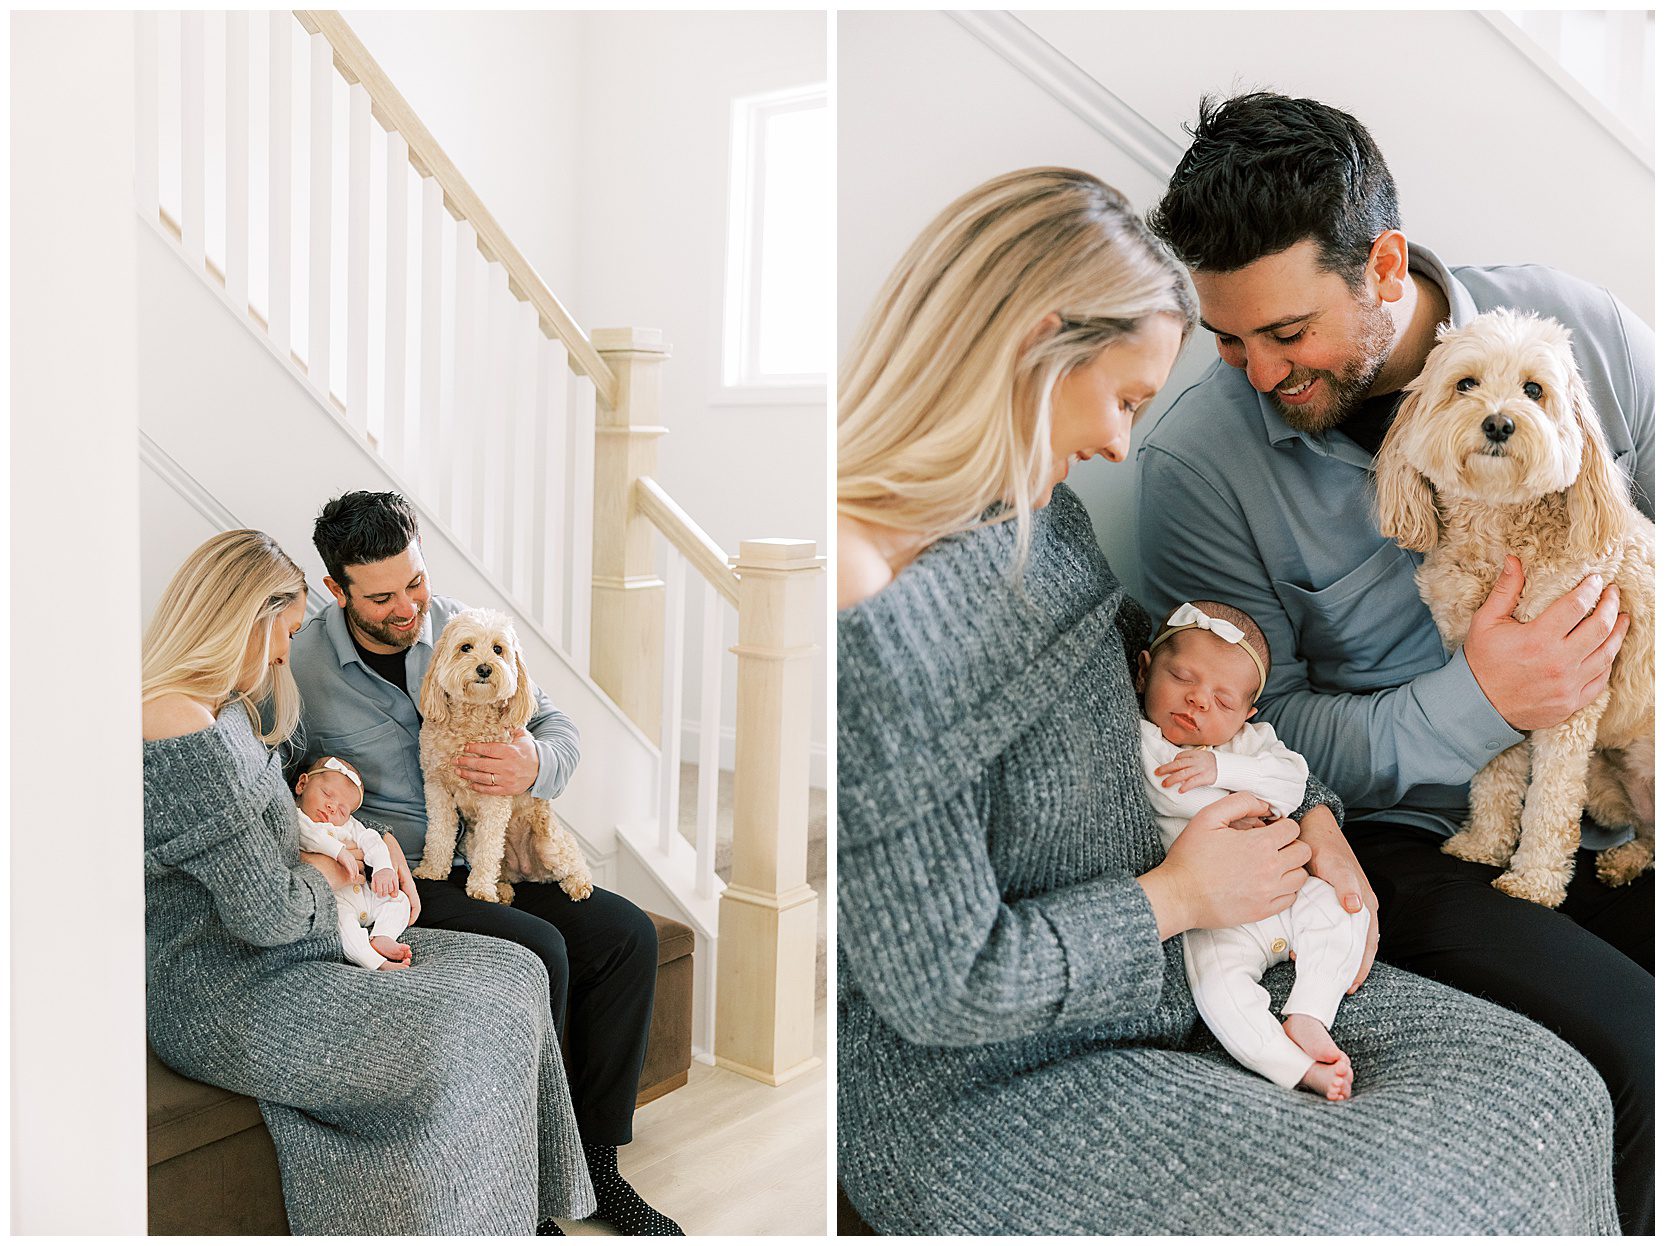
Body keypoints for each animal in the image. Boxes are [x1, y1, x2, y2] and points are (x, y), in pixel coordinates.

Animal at [412, 609, 596, 899]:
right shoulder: (436, 787)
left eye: (498, 649)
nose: (485, 668)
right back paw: (503, 891)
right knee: (502, 868)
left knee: (573, 860)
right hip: (471, 842)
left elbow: (489, 847)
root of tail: (528, 872)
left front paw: (481, 889)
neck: (471, 723)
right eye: (466, 647)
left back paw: (578, 883)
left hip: (549, 843)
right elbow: (439, 833)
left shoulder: (494, 798)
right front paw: (432, 870)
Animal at [1378, 306, 1651, 912]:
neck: (1501, 534)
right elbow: (1496, 773)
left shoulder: (1573, 703)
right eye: (1465, 385)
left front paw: (1534, 881)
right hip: (1609, 789)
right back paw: (1623, 860)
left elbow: (1550, 803)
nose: (1499, 424)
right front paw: (1484, 844)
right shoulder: (1492, 680)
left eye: (1533, 390)